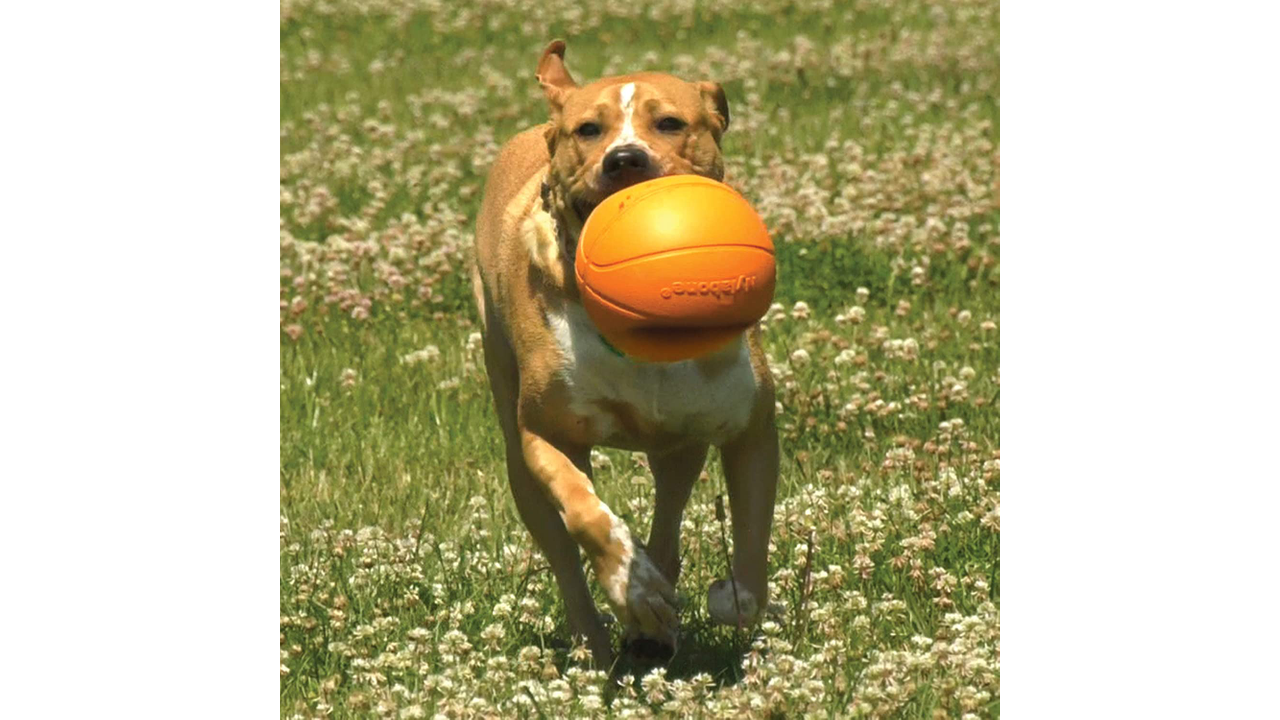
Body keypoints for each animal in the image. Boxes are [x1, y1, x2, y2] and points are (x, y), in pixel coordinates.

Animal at [468, 40, 773, 666]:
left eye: (671, 123)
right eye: (588, 129)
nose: (625, 159)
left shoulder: (751, 422)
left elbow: (754, 539)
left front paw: (731, 598)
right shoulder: (546, 431)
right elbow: (586, 513)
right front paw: (634, 589)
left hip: (680, 443)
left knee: (671, 510)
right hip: (517, 453)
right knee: (563, 553)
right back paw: (608, 637)